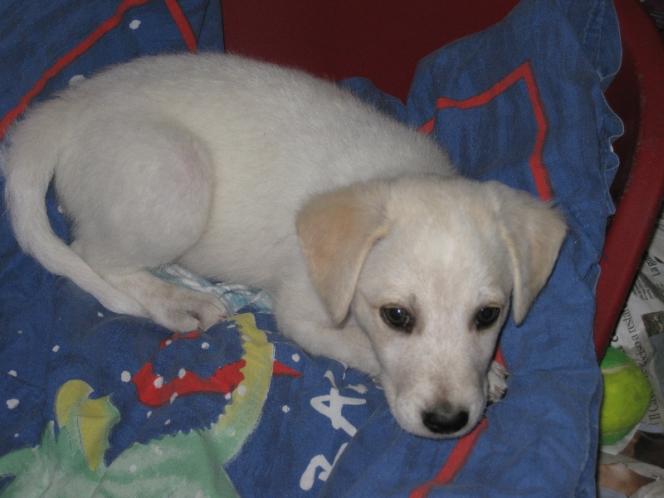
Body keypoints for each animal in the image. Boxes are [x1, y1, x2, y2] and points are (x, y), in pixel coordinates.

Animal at [3, 53, 566, 438]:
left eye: (488, 315)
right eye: (397, 317)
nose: (448, 421)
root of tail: (66, 108)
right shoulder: (303, 316)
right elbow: (359, 345)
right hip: (178, 175)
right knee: (94, 253)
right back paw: (176, 299)